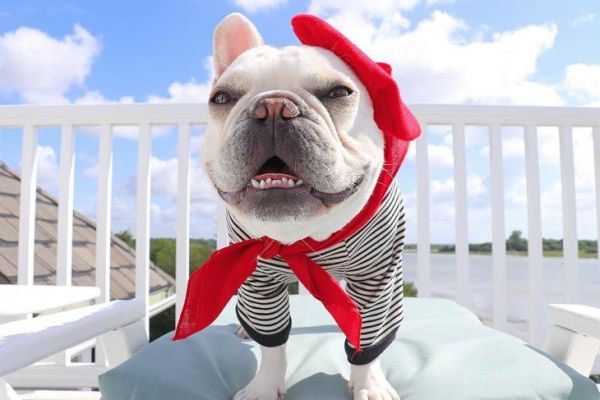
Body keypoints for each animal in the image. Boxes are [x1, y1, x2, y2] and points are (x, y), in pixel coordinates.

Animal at [201, 13, 409, 400]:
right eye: (221, 97)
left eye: (339, 93)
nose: (272, 108)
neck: (305, 232)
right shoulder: (255, 274)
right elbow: (271, 341)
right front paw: (264, 387)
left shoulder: (377, 276)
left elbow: (370, 339)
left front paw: (368, 384)